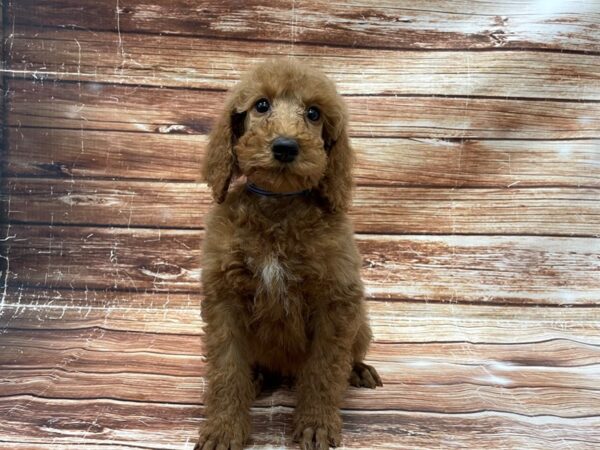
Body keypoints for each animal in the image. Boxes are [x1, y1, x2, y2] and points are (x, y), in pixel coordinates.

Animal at [195, 59, 382, 450]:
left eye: (313, 113)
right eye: (261, 105)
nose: (285, 146)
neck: (279, 205)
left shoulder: (336, 301)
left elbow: (325, 369)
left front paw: (316, 425)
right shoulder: (224, 298)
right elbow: (226, 368)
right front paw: (224, 428)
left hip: (360, 323)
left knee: (350, 355)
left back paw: (359, 370)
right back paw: (256, 378)